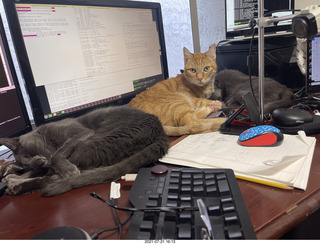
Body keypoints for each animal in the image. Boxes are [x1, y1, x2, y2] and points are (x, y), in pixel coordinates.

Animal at [0, 107, 170, 196]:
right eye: (26, 164)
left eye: (28, 155)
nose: (38, 164)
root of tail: (160, 132)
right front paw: (15, 176)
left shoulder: (79, 133)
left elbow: (56, 156)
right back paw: (13, 182)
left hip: (90, 143)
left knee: (53, 177)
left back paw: (15, 185)